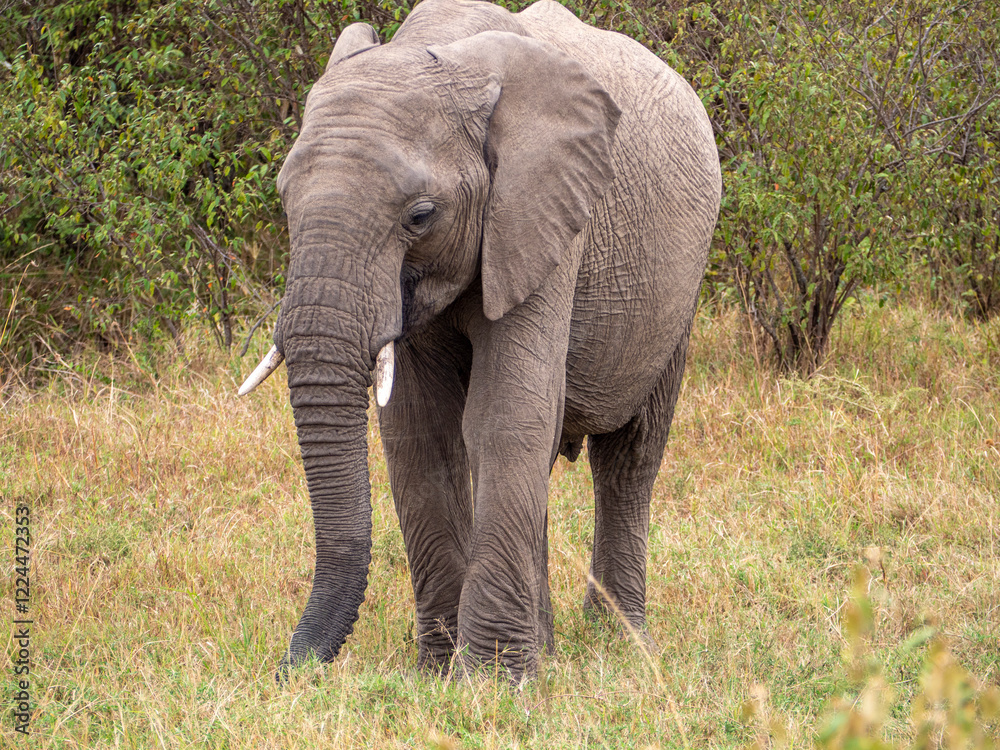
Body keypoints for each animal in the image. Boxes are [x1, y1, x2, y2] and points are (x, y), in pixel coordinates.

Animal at [239, 0, 721, 680]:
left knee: (629, 457)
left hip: (681, 287)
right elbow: (419, 431)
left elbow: (505, 416)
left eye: (420, 216)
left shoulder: (545, 218)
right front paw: (441, 672)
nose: (290, 672)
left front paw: (493, 681)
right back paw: (548, 647)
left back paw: (621, 643)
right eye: (283, 199)